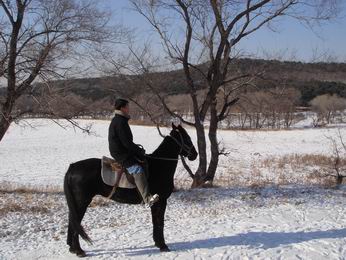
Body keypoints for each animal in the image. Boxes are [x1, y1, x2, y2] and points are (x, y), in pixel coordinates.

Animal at [62, 123, 197, 256]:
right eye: (187, 138)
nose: (195, 154)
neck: (160, 165)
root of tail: (72, 167)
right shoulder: (161, 201)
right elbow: (159, 222)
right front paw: (163, 246)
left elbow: (155, 222)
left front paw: (158, 243)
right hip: (81, 202)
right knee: (75, 222)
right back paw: (78, 250)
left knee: (72, 221)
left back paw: (72, 248)